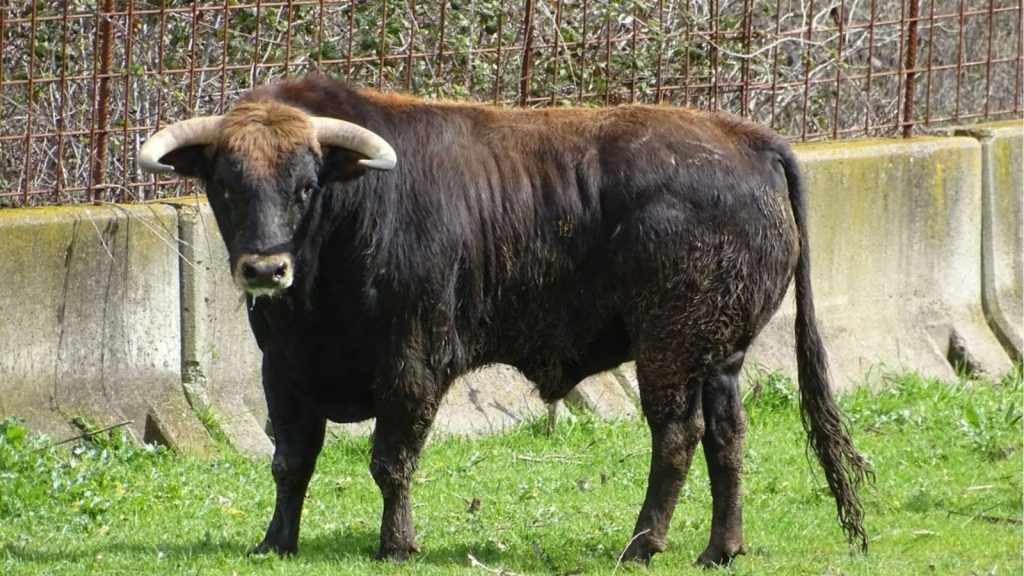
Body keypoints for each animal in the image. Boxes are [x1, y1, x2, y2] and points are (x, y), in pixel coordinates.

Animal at [138, 76, 871, 567]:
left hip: (668, 349)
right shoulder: (285, 372)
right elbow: (291, 462)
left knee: (677, 437)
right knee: (727, 437)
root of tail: (751, 140)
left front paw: (395, 544)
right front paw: (275, 542)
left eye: (305, 185)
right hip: (719, 357)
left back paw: (641, 545)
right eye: (226, 185)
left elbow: (391, 461)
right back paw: (721, 549)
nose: (265, 269)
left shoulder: (412, 364)